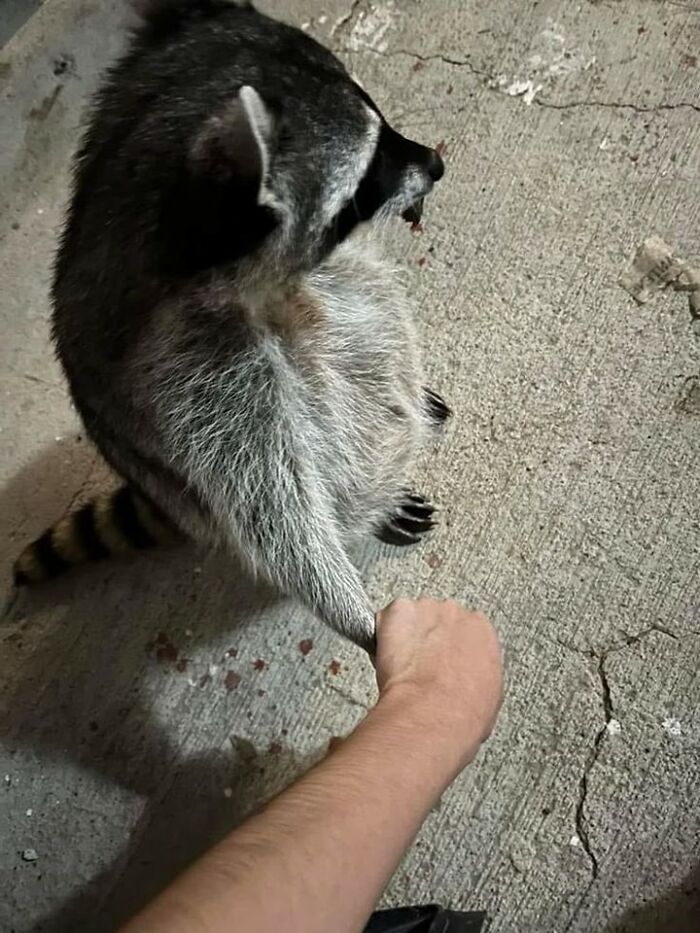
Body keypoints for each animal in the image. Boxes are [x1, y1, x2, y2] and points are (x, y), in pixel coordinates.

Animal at [14, 0, 450, 651]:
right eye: (369, 171)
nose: (436, 164)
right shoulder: (189, 370)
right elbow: (272, 505)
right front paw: (359, 616)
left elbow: (369, 309)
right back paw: (366, 503)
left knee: (368, 300)